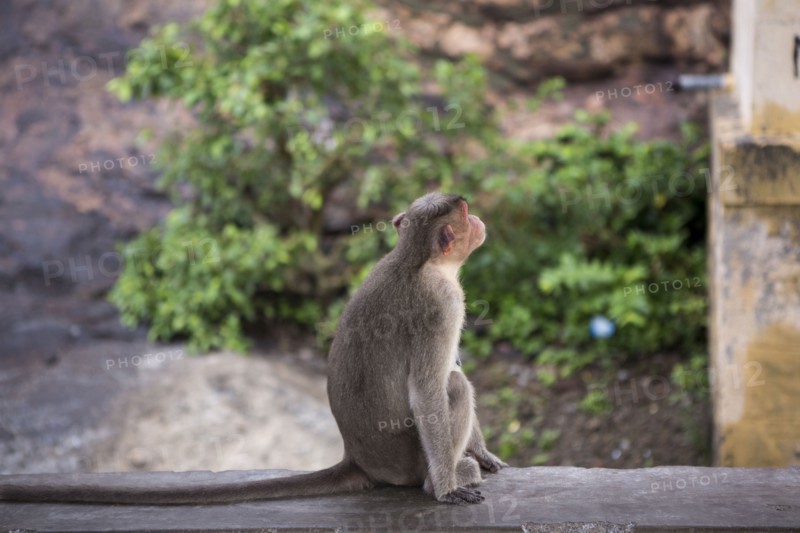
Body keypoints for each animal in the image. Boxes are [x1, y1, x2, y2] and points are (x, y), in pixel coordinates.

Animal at [0, 191, 506, 505]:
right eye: (464, 213)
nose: (479, 218)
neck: (414, 259)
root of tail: (357, 458)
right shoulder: (443, 304)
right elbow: (428, 389)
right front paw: (444, 488)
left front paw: (483, 452)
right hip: (405, 458)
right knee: (453, 388)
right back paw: (445, 475)